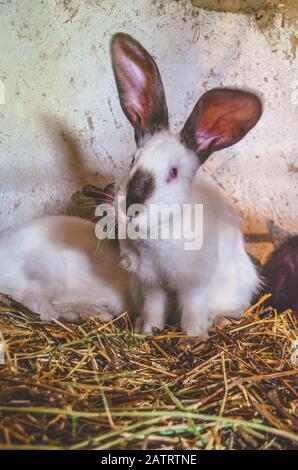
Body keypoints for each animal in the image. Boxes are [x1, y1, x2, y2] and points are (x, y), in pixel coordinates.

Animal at [110, 33, 264, 336]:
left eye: (173, 173)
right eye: (133, 160)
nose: (132, 205)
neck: (157, 235)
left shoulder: (195, 285)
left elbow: (193, 312)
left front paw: (192, 339)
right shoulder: (151, 283)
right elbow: (154, 308)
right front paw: (148, 331)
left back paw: (218, 322)